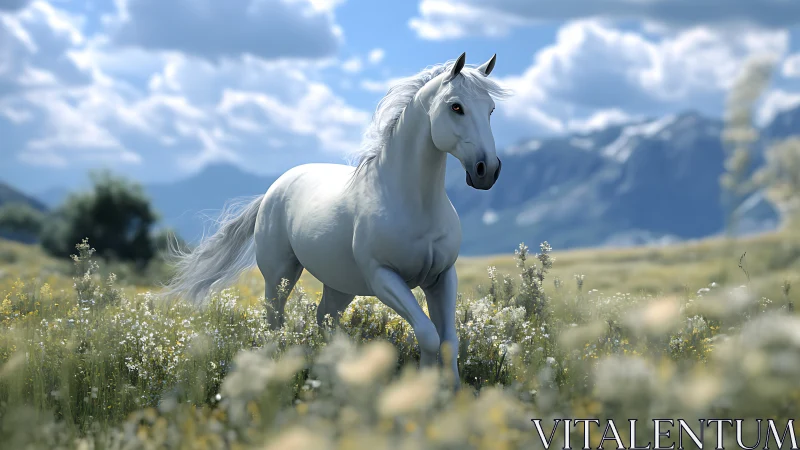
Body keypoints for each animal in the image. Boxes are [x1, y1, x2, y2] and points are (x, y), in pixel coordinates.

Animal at [164, 52, 511, 389]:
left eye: (491, 110)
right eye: (456, 107)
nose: (487, 171)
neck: (412, 201)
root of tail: (273, 190)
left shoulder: (442, 277)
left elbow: (449, 340)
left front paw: (449, 393)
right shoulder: (383, 277)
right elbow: (428, 335)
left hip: (340, 284)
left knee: (325, 318)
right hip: (279, 275)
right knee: (275, 320)